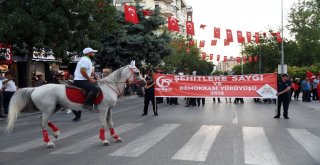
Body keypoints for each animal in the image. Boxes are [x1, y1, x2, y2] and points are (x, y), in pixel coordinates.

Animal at [5, 61, 145, 148]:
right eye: (137, 72)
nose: (144, 83)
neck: (109, 87)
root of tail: (35, 89)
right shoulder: (104, 109)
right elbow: (102, 124)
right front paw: (104, 139)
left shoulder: (109, 109)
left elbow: (110, 123)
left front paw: (116, 137)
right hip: (48, 109)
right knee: (43, 123)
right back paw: (49, 142)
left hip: (53, 108)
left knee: (42, 120)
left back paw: (56, 132)